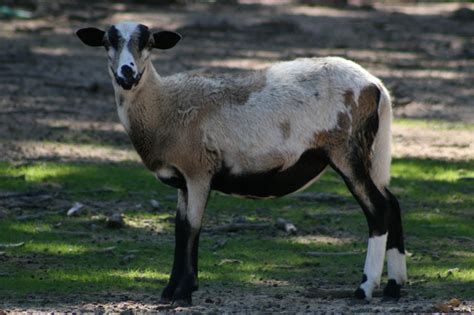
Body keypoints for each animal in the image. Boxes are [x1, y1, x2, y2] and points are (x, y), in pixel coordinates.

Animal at [77, 21, 408, 306]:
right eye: (107, 42)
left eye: (149, 43)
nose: (127, 74)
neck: (164, 105)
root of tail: (376, 85)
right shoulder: (184, 180)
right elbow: (180, 227)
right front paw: (171, 290)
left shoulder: (199, 171)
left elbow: (192, 227)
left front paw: (183, 293)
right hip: (369, 154)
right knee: (393, 203)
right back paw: (395, 286)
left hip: (348, 151)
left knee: (378, 210)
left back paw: (364, 289)